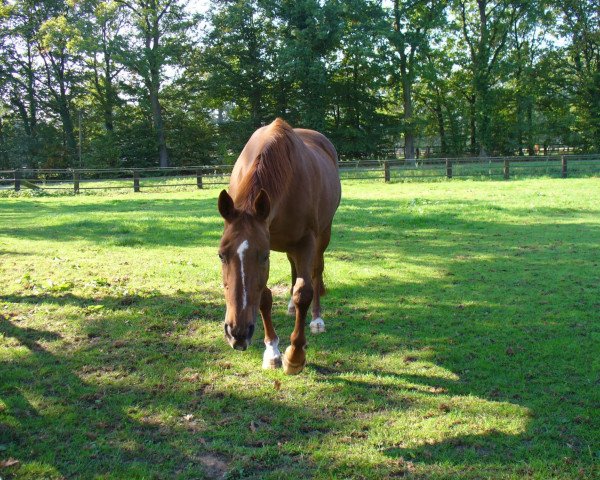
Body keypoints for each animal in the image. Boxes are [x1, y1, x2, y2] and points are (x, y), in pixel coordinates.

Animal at [217, 118, 340, 374]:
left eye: (263, 256)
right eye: (221, 255)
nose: (238, 333)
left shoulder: (305, 241)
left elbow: (304, 292)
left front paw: (295, 356)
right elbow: (264, 297)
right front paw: (272, 351)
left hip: (322, 235)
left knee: (315, 273)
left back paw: (316, 319)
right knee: (294, 269)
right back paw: (292, 308)